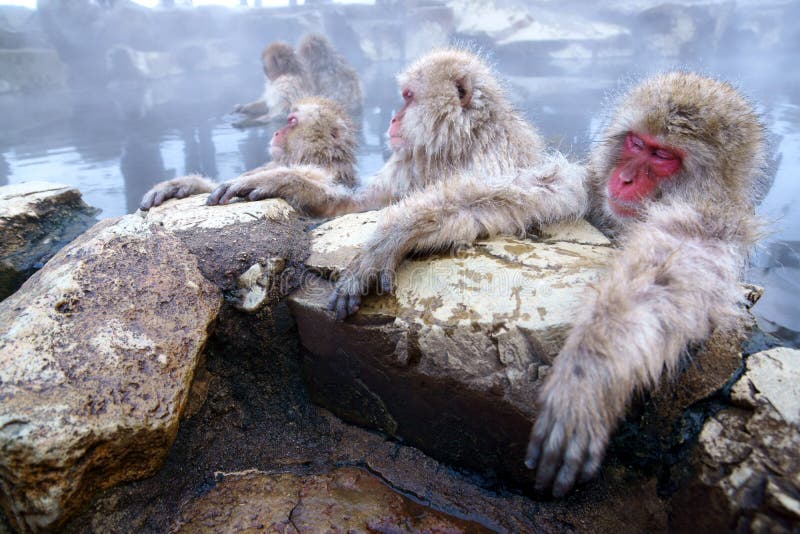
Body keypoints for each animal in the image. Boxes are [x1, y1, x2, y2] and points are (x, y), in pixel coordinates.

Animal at [139, 97, 356, 214]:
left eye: (292, 121)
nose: (276, 132)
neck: (307, 156)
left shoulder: (333, 172)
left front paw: (275, 180)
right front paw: (182, 185)